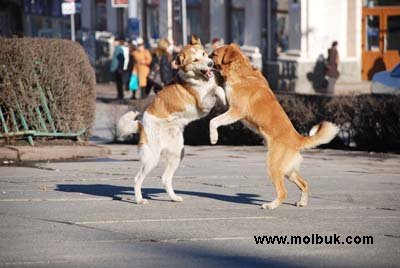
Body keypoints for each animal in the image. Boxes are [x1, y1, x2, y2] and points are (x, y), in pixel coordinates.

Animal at [118, 35, 225, 203]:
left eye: (203, 53)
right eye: (195, 60)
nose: (210, 64)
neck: (198, 79)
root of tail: (141, 123)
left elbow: (217, 86)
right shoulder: (203, 104)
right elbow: (217, 89)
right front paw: (225, 98)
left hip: (177, 153)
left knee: (165, 178)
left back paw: (174, 197)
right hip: (151, 158)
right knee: (137, 179)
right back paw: (139, 199)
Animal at [211, 44, 340, 209]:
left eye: (214, 54)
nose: (205, 59)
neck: (242, 73)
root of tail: (298, 139)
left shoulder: (236, 111)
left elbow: (214, 121)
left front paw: (213, 137)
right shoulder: (229, 105)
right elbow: (219, 91)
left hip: (274, 167)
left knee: (283, 192)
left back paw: (271, 205)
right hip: (289, 171)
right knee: (304, 184)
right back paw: (302, 202)